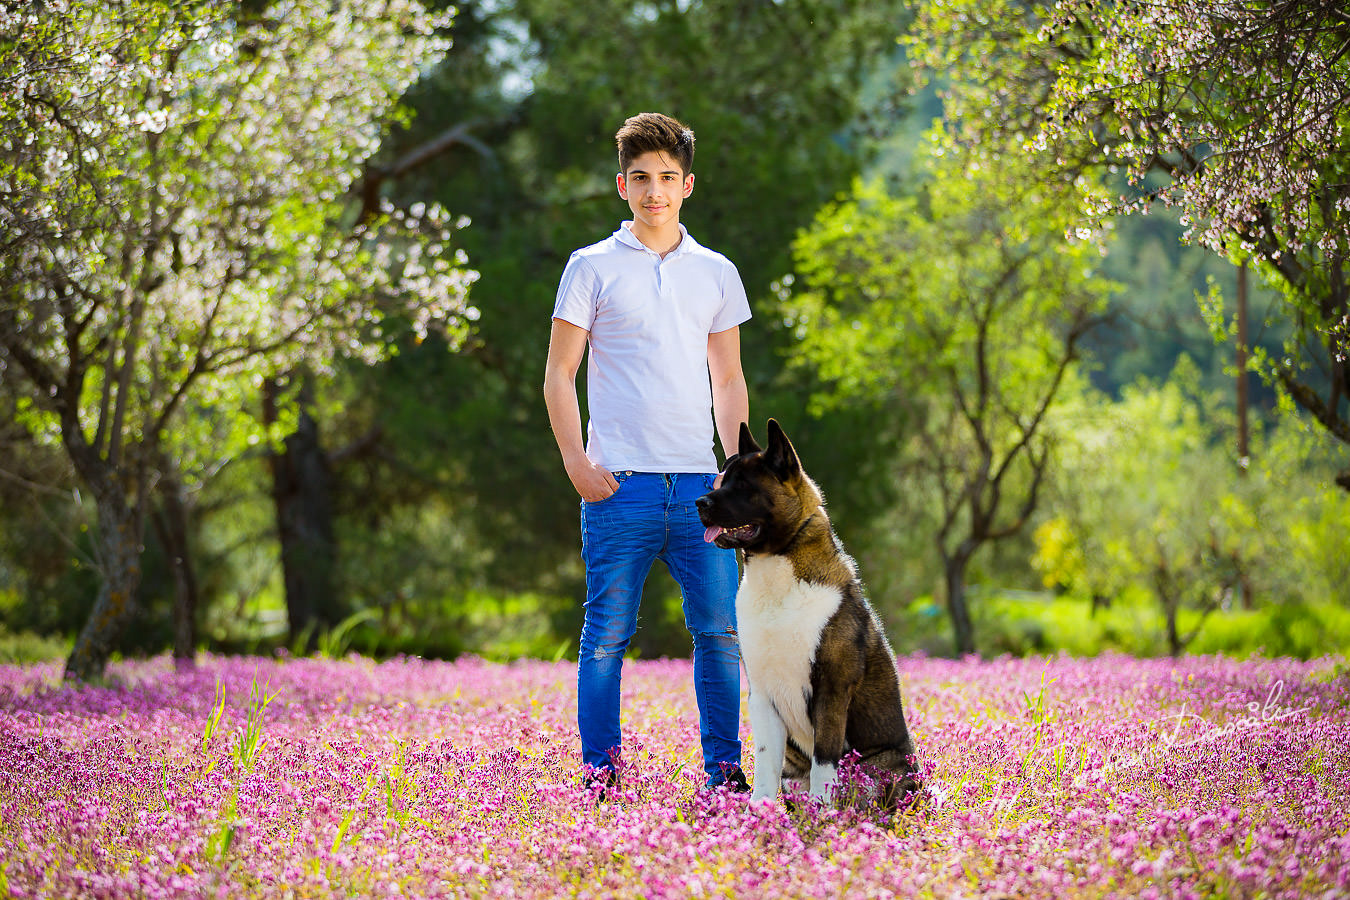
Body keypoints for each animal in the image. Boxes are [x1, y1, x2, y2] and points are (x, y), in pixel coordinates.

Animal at [696, 423, 918, 809]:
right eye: (721, 481)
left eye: (744, 486)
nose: (699, 503)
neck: (777, 567)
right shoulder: (762, 694)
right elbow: (766, 762)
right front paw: (758, 810)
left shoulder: (831, 690)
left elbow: (824, 760)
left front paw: (822, 810)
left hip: (884, 765)